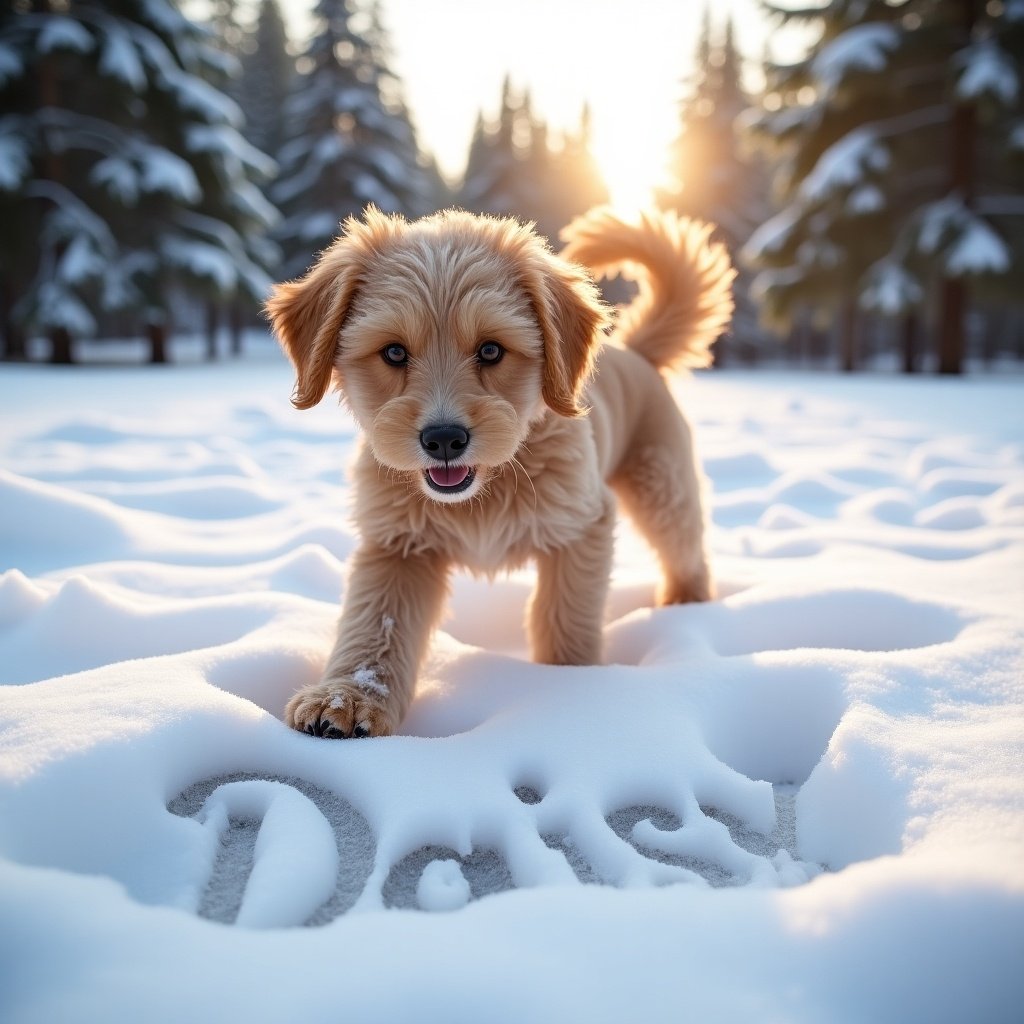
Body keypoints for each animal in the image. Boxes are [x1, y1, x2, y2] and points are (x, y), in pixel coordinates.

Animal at [268, 205, 737, 737]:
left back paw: (687, 606)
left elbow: (565, 618)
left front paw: (576, 689)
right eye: (393, 352)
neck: (485, 490)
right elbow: (375, 626)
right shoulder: (396, 544)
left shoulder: (582, 527)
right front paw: (347, 698)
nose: (444, 439)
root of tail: (635, 351)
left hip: (662, 485)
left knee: (685, 549)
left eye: (491, 350)